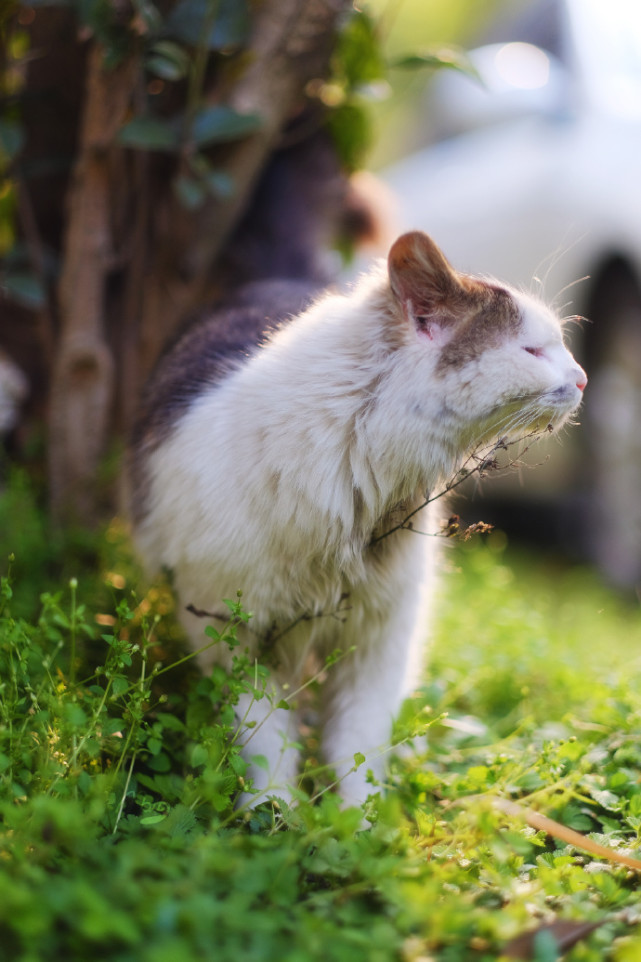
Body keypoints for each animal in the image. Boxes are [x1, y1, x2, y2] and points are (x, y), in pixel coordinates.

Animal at [127, 229, 588, 808]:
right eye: (533, 350)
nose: (583, 379)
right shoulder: (235, 635)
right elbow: (265, 744)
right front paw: (274, 815)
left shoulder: (380, 639)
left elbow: (357, 749)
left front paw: (355, 823)